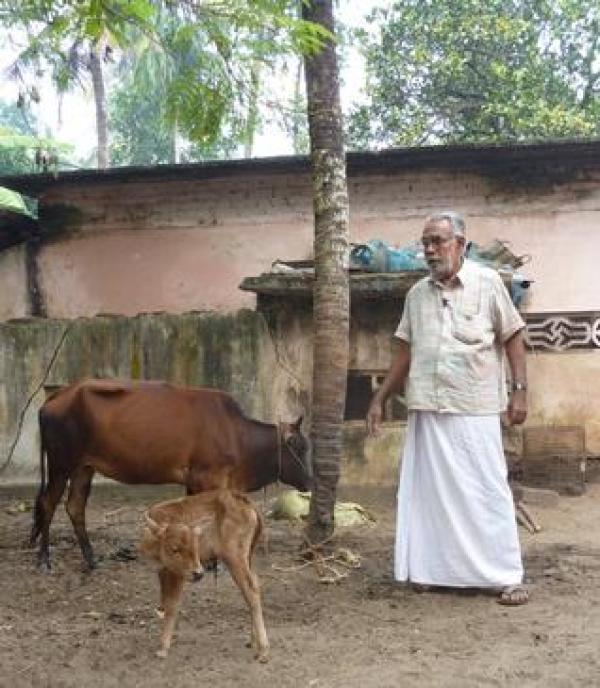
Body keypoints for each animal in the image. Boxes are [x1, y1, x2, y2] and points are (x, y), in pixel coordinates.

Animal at [30, 378, 311, 571]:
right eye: (300, 447)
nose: (309, 481)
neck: (237, 435)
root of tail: (58, 395)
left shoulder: (194, 482)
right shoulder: (206, 478)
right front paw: (210, 562)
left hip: (84, 467)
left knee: (75, 507)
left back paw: (91, 560)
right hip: (61, 464)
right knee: (48, 503)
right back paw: (44, 559)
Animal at [139, 489, 268, 661]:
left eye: (195, 547)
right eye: (174, 549)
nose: (199, 574)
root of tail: (242, 499)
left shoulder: (177, 575)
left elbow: (172, 605)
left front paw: (163, 648)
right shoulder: (163, 572)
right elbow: (165, 603)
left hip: (234, 559)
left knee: (251, 591)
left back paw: (263, 650)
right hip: (247, 558)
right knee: (254, 585)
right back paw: (253, 642)